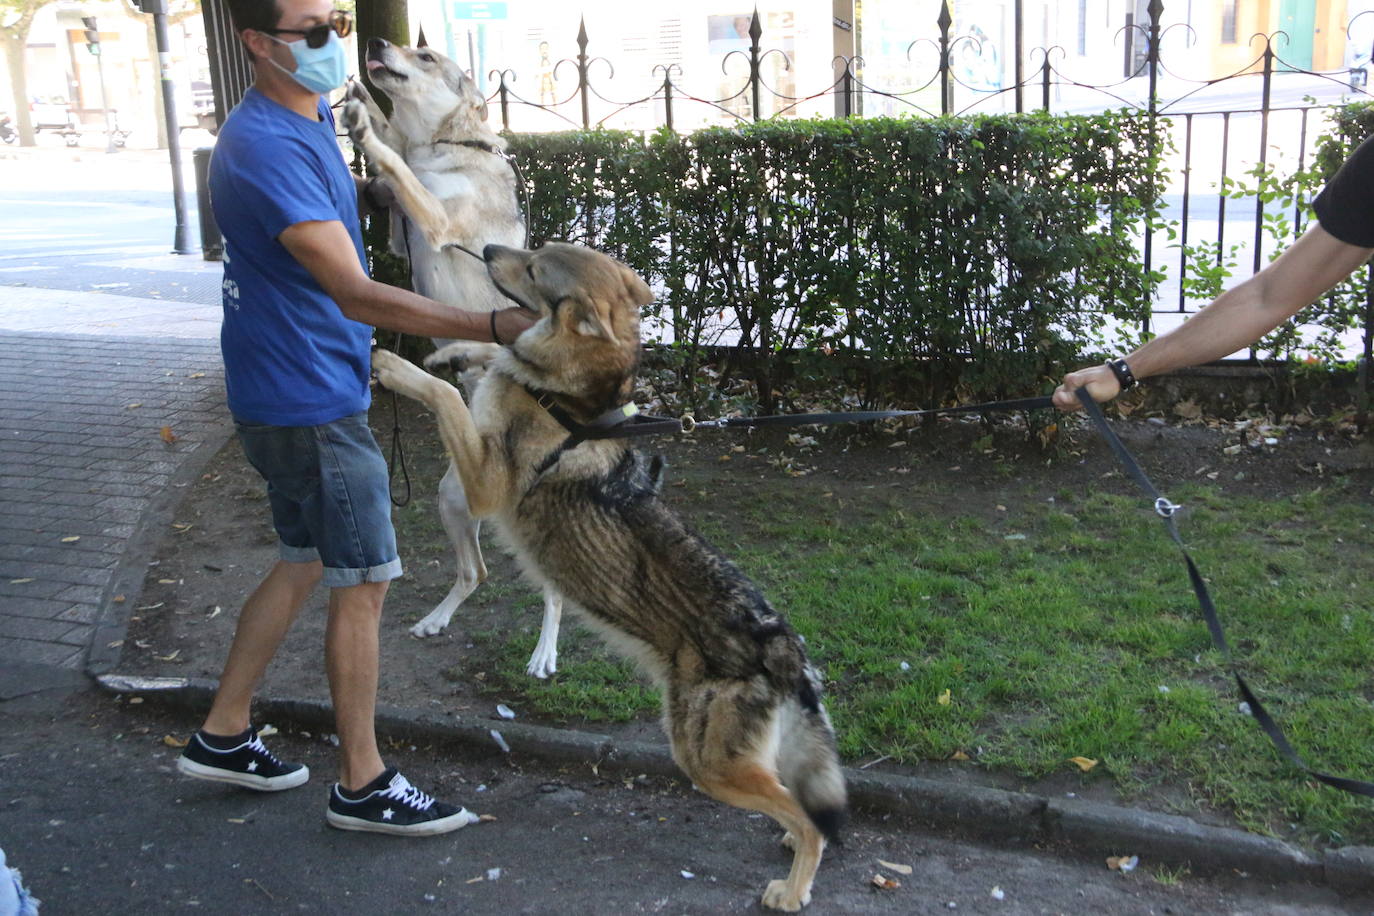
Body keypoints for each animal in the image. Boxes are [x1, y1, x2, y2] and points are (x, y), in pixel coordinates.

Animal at [376, 243, 846, 911]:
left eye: (533, 267)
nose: (488, 249)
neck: (566, 398)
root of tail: (778, 640)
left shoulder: (484, 485)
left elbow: (442, 393)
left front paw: (394, 364)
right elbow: (483, 361)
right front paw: (457, 352)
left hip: (707, 765)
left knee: (809, 819)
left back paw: (791, 887)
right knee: (799, 798)